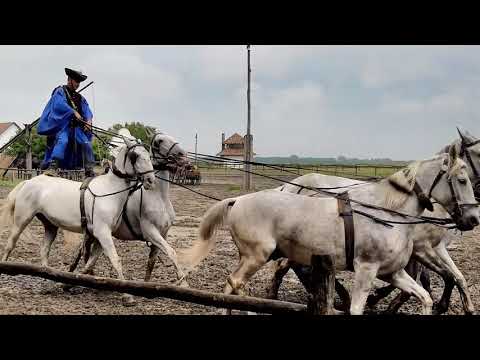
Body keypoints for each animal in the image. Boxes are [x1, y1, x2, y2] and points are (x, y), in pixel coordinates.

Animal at [0, 138, 156, 290]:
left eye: (149, 156)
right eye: (135, 156)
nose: (150, 180)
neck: (109, 191)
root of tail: (28, 181)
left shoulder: (101, 235)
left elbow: (91, 262)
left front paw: (71, 282)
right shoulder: (102, 233)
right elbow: (115, 259)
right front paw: (126, 291)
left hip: (50, 225)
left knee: (44, 250)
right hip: (22, 220)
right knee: (10, 244)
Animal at [69, 131, 189, 286]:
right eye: (159, 141)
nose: (182, 155)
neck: (158, 197)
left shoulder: (163, 234)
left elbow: (151, 263)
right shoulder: (151, 232)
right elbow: (172, 252)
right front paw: (184, 283)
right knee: (84, 253)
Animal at [179, 148, 480, 314]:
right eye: (461, 179)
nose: (473, 218)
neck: (387, 212)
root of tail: (237, 200)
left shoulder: (394, 272)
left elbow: (426, 295)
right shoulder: (367, 268)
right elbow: (357, 307)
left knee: (234, 285)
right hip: (257, 256)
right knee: (234, 283)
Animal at [268, 128, 480, 314]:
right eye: (462, 180)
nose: (473, 219)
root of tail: (289, 186)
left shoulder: (430, 248)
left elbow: (453, 277)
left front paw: (462, 307)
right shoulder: (423, 248)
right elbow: (441, 277)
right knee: (293, 267)